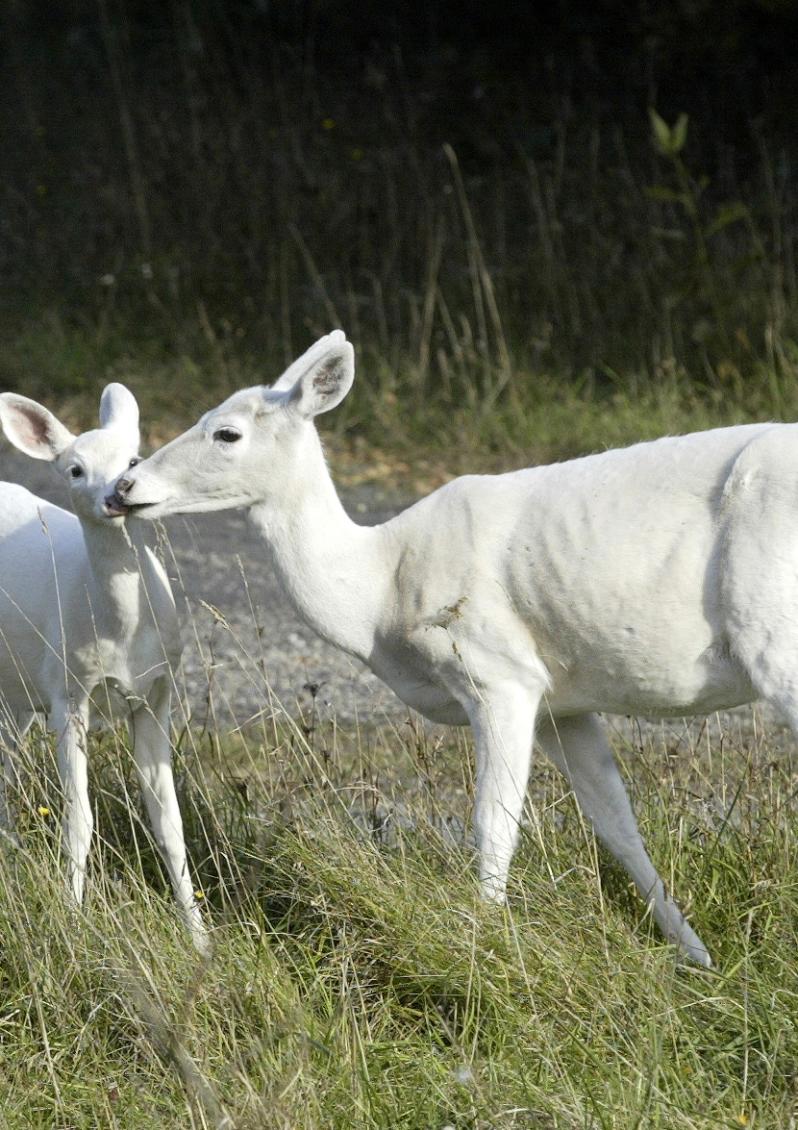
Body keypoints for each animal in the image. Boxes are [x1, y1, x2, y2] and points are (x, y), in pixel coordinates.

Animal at [0, 384, 205, 949]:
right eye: (75, 469)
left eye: (132, 460)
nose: (116, 494)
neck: (121, 635)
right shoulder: (68, 691)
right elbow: (79, 820)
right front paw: (72, 920)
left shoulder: (157, 695)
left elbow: (170, 823)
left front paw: (200, 937)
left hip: (18, 688)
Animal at [105, 329, 782, 967]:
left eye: (227, 432)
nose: (124, 486)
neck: (377, 589)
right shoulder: (563, 702)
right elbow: (618, 822)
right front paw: (696, 956)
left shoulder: (498, 672)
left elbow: (493, 825)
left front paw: (483, 953)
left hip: (772, 634)